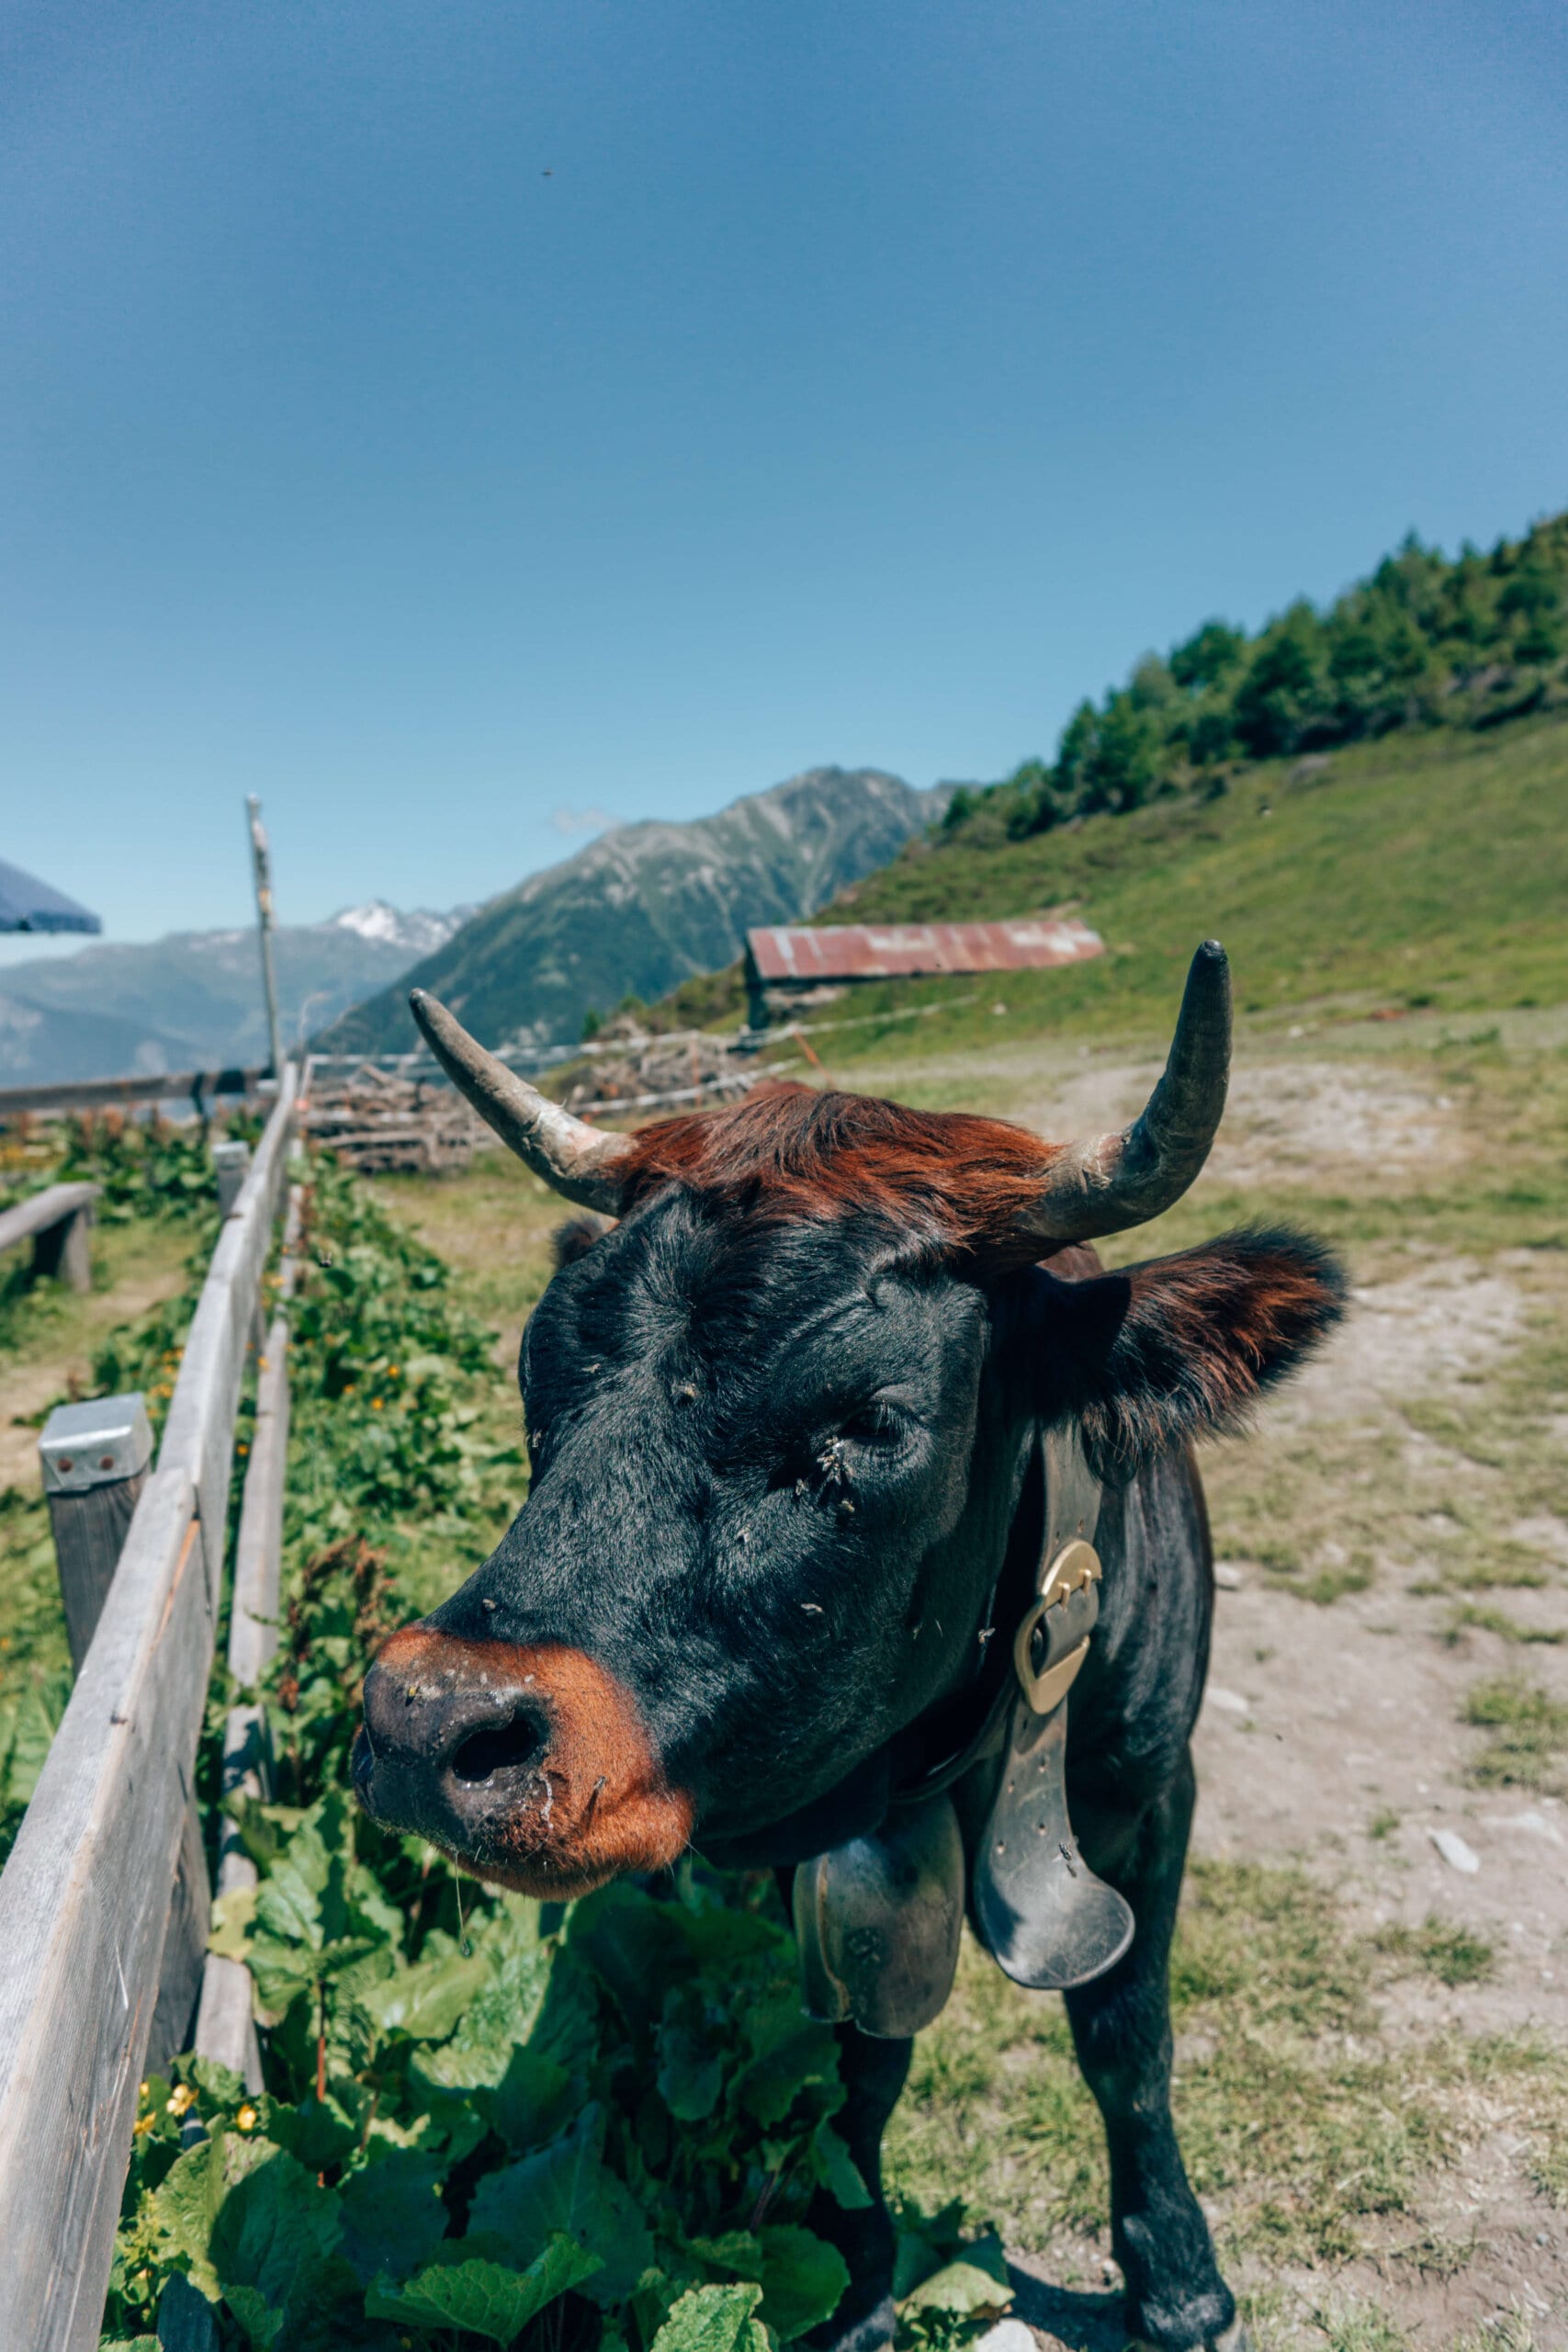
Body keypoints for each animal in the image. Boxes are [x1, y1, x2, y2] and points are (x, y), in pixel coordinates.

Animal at [359, 950, 1354, 2352]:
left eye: (872, 1421)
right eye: (533, 1363)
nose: (428, 1721)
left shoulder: (1151, 1784)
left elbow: (1127, 2036)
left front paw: (1175, 2273)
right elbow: (855, 2070)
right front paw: (856, 2271)